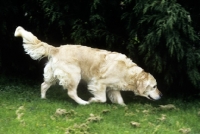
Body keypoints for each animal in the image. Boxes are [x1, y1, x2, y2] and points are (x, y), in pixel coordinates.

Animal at [14, 26, 162, 105]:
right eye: (154, 86)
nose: (161, 95)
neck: (128, 72)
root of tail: (56, 48)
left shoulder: (113, 88)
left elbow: (119, 100)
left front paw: (123, 107)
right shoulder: (99, 83)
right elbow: (102, 99)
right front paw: (92, 100)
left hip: (53, 75)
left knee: (43, 85)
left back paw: (43, 98)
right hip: (74, 75)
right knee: (71, 93)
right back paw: (83, 103)